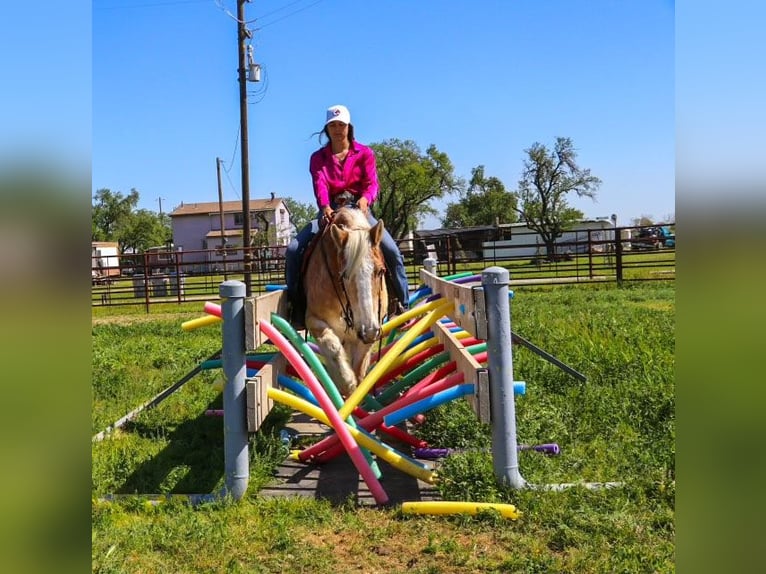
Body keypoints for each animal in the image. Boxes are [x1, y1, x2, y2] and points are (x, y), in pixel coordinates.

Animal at [304, 207, 390, 400]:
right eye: (344, 275)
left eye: (381, 271)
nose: (368, 331)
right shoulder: (314, 321)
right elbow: (332, 349)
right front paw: (346, 383)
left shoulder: (371, 330)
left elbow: (359, 368)